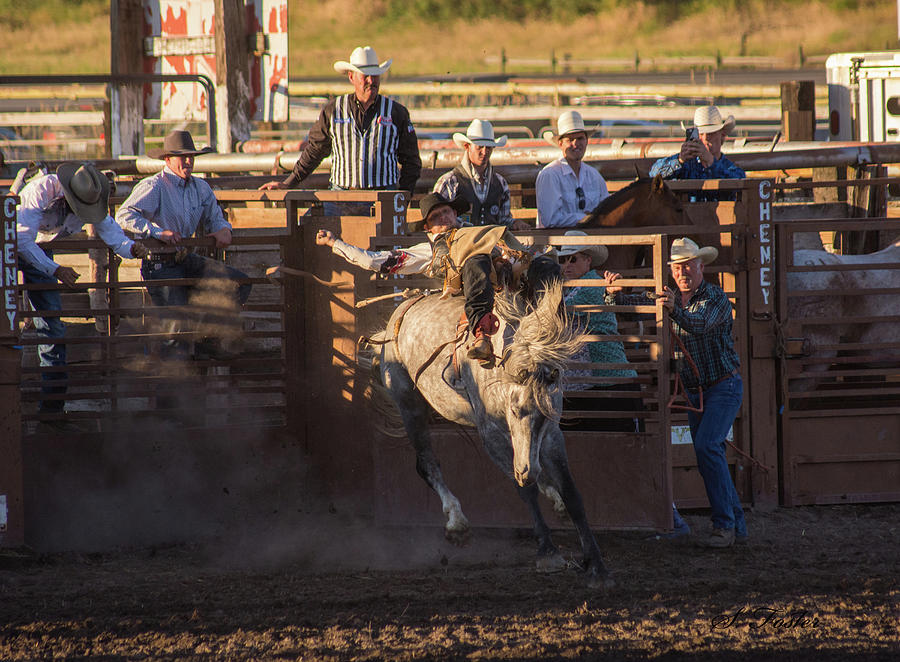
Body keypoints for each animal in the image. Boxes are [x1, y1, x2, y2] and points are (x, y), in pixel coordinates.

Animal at [366, 282, 612, 588]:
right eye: (516, 409)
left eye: (545, 415)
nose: (527, 470)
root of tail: (402, 309)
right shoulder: (492, 435)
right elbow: (524, 490)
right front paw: (548, 552)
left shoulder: (551, 436)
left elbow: (572, 494)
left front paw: (596, 565)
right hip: (408, 403)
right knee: (427, 464)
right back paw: (457, 523)